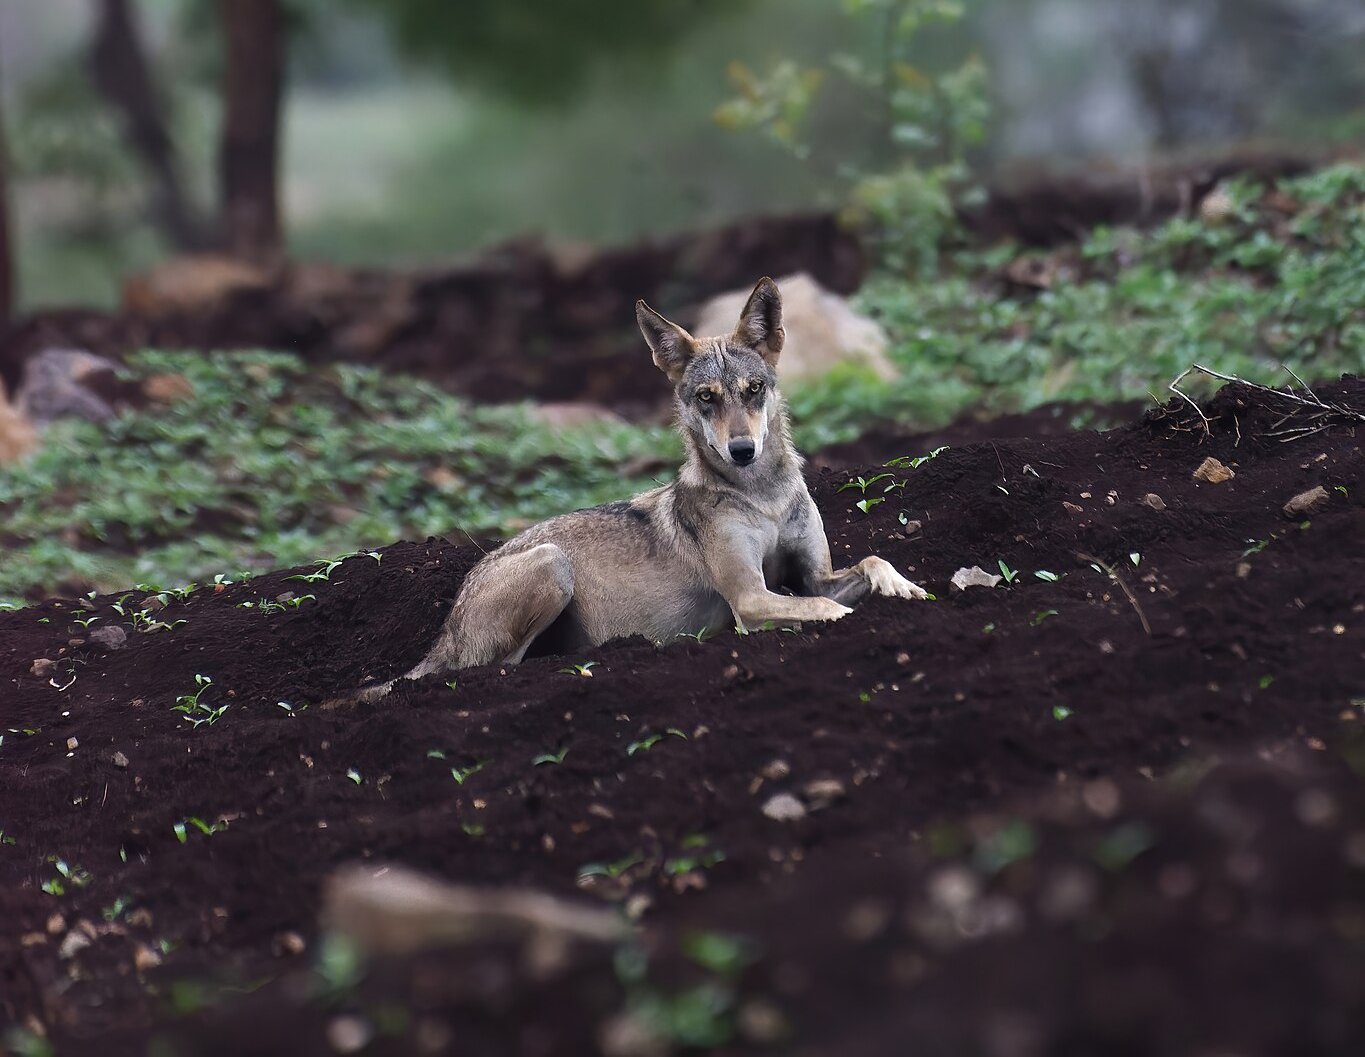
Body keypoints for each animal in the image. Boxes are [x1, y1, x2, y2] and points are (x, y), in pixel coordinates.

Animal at [362, 277, 926, 699]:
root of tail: (450, 619)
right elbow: (823, 609)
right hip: (551, 564)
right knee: (497, 668)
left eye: (754, 390)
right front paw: (849, 618)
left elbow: (870, 563)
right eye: (706, 398)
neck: (760, 495)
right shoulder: (750, 597)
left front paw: (906, 589)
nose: (742, 449)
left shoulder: (815, 575)